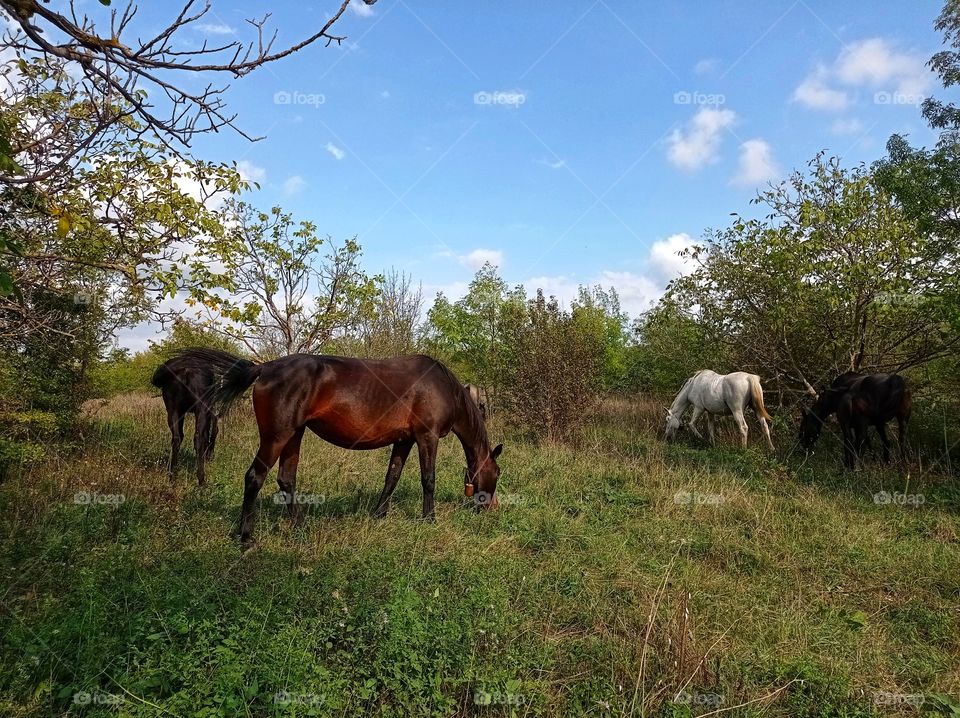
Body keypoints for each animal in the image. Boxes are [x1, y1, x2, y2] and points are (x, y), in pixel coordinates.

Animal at [150, 348, 242, 485]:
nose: (210, 457)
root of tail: (184, 368)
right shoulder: (209, 411)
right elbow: (212, 432)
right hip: (200, 409)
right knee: (199, 438)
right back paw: (201, 480)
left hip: (173, 410)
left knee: (176, 438)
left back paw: (172, 476)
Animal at [178, 350, 503, 550]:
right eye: (497, 473)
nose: (488, 507)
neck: (443, 387)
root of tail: (265, 367)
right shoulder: (427, 437)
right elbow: (428, 479)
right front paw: (429, 519)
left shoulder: (404, 440)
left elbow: (392, 476)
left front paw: (379, 514)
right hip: (276, 437)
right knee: (254, 477)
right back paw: (247, 538)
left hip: (294, 435)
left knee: (286, 478)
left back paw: (300, 526)